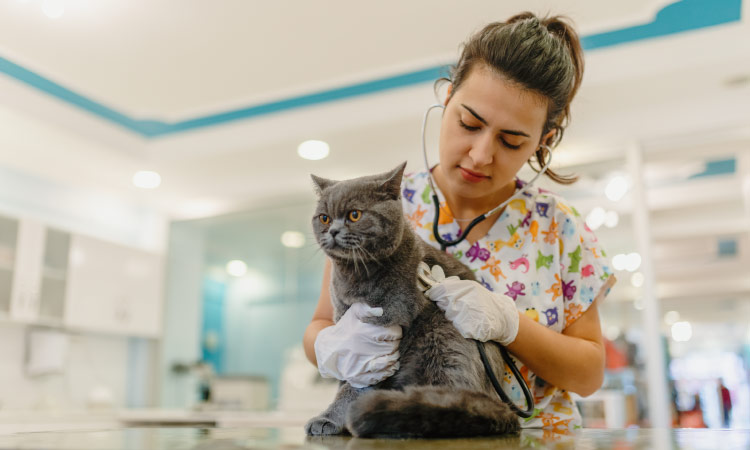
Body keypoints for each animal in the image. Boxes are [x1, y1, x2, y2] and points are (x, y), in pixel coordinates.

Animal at [306, 163, 524, 440]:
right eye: (324, 218)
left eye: (354, 215)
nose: (332, 230)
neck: (355, 274)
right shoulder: (345, 321)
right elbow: (347, 372)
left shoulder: (388, 320)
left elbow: (357, 385)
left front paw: (329, 419)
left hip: (444, 337)